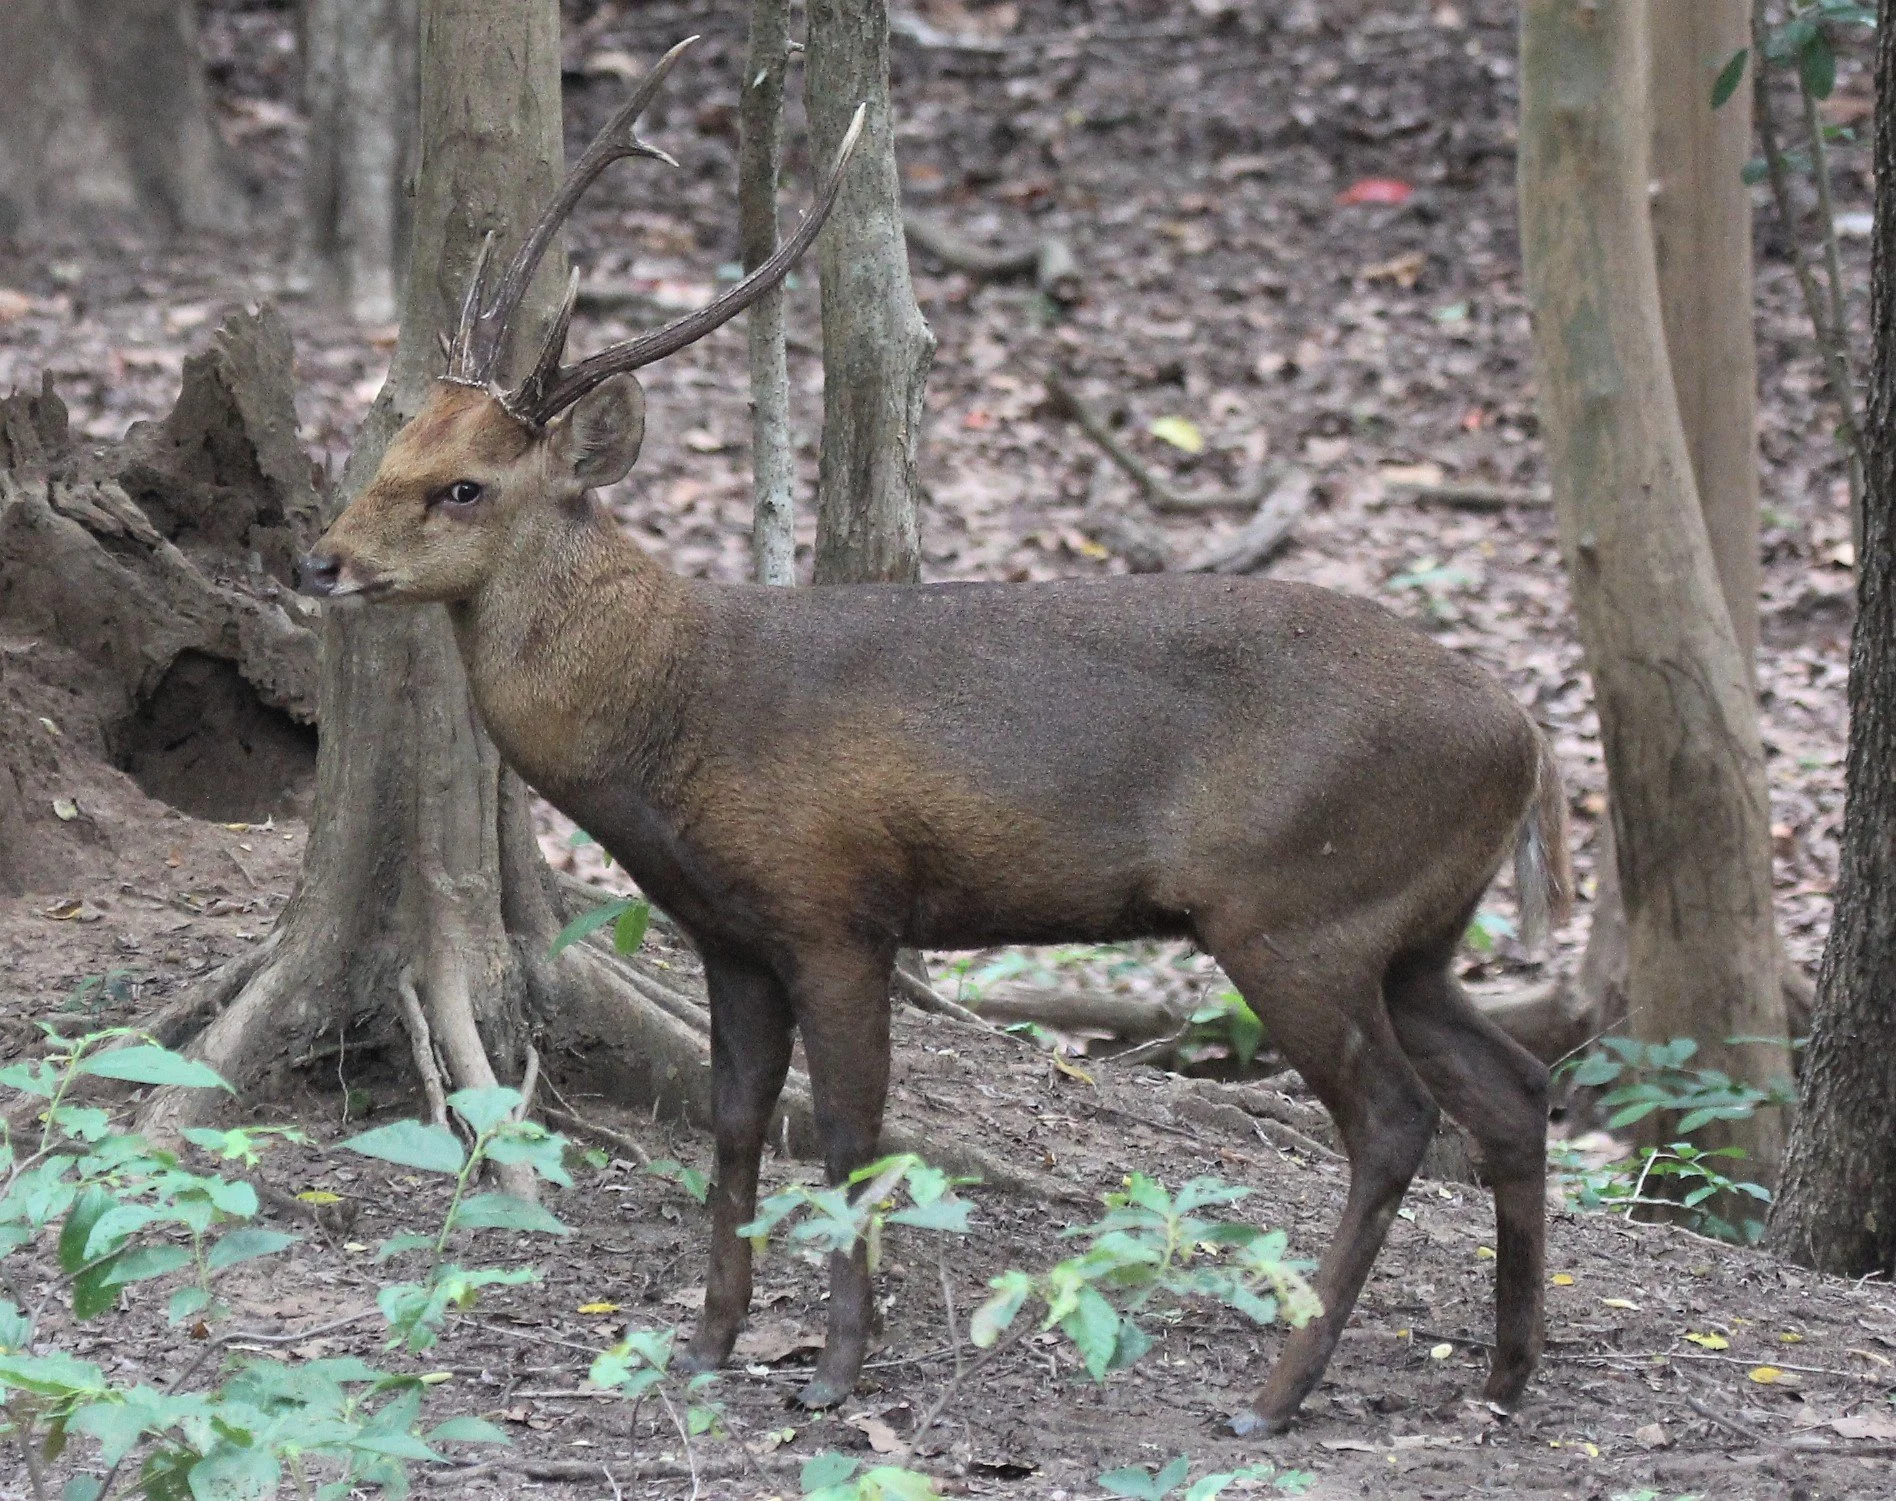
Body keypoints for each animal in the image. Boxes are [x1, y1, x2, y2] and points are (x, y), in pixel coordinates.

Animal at [297, 38, 1573, 1436]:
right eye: (393, 441)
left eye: (464, 486)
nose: (320, 560)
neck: (679, 720)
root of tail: (1529, 736)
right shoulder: (730, 932)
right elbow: (738, 1125)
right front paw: (710, 1346)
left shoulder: (839, 904)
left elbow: (853, 1130)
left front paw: (837, 1369)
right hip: (1410, 927)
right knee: (1515, 1085)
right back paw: (1507, 1371)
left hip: (1296, 903)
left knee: (1394, 1118)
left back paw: (1274, 1392)